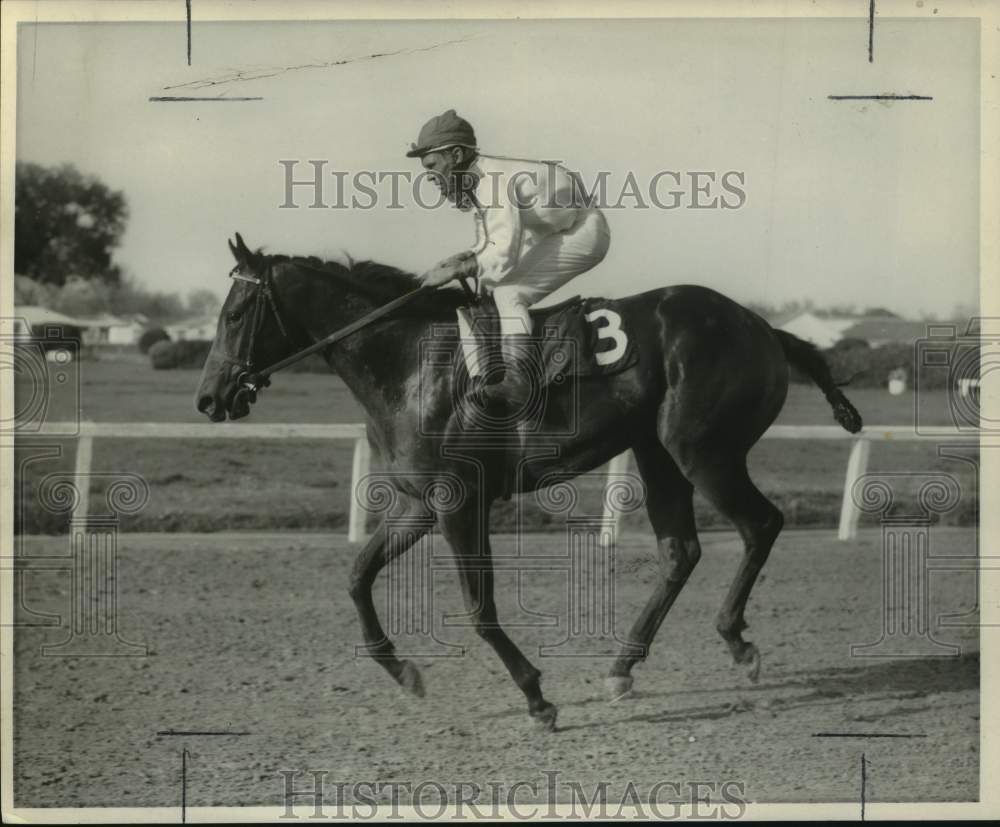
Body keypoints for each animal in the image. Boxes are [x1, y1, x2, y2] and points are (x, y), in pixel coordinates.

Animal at [197, 233, 868, 732]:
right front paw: (405, 673)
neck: (412, 363)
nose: (209, 398)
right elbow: (358, 576)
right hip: (658, 454)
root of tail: (763, 327)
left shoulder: (460, 503)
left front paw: (536, 697)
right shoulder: (419, 504)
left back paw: (737, 641)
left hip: (703, 450)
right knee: (681, 550)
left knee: (761, 523)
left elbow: (479, 607)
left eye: (234, 314)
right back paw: (622, 668)